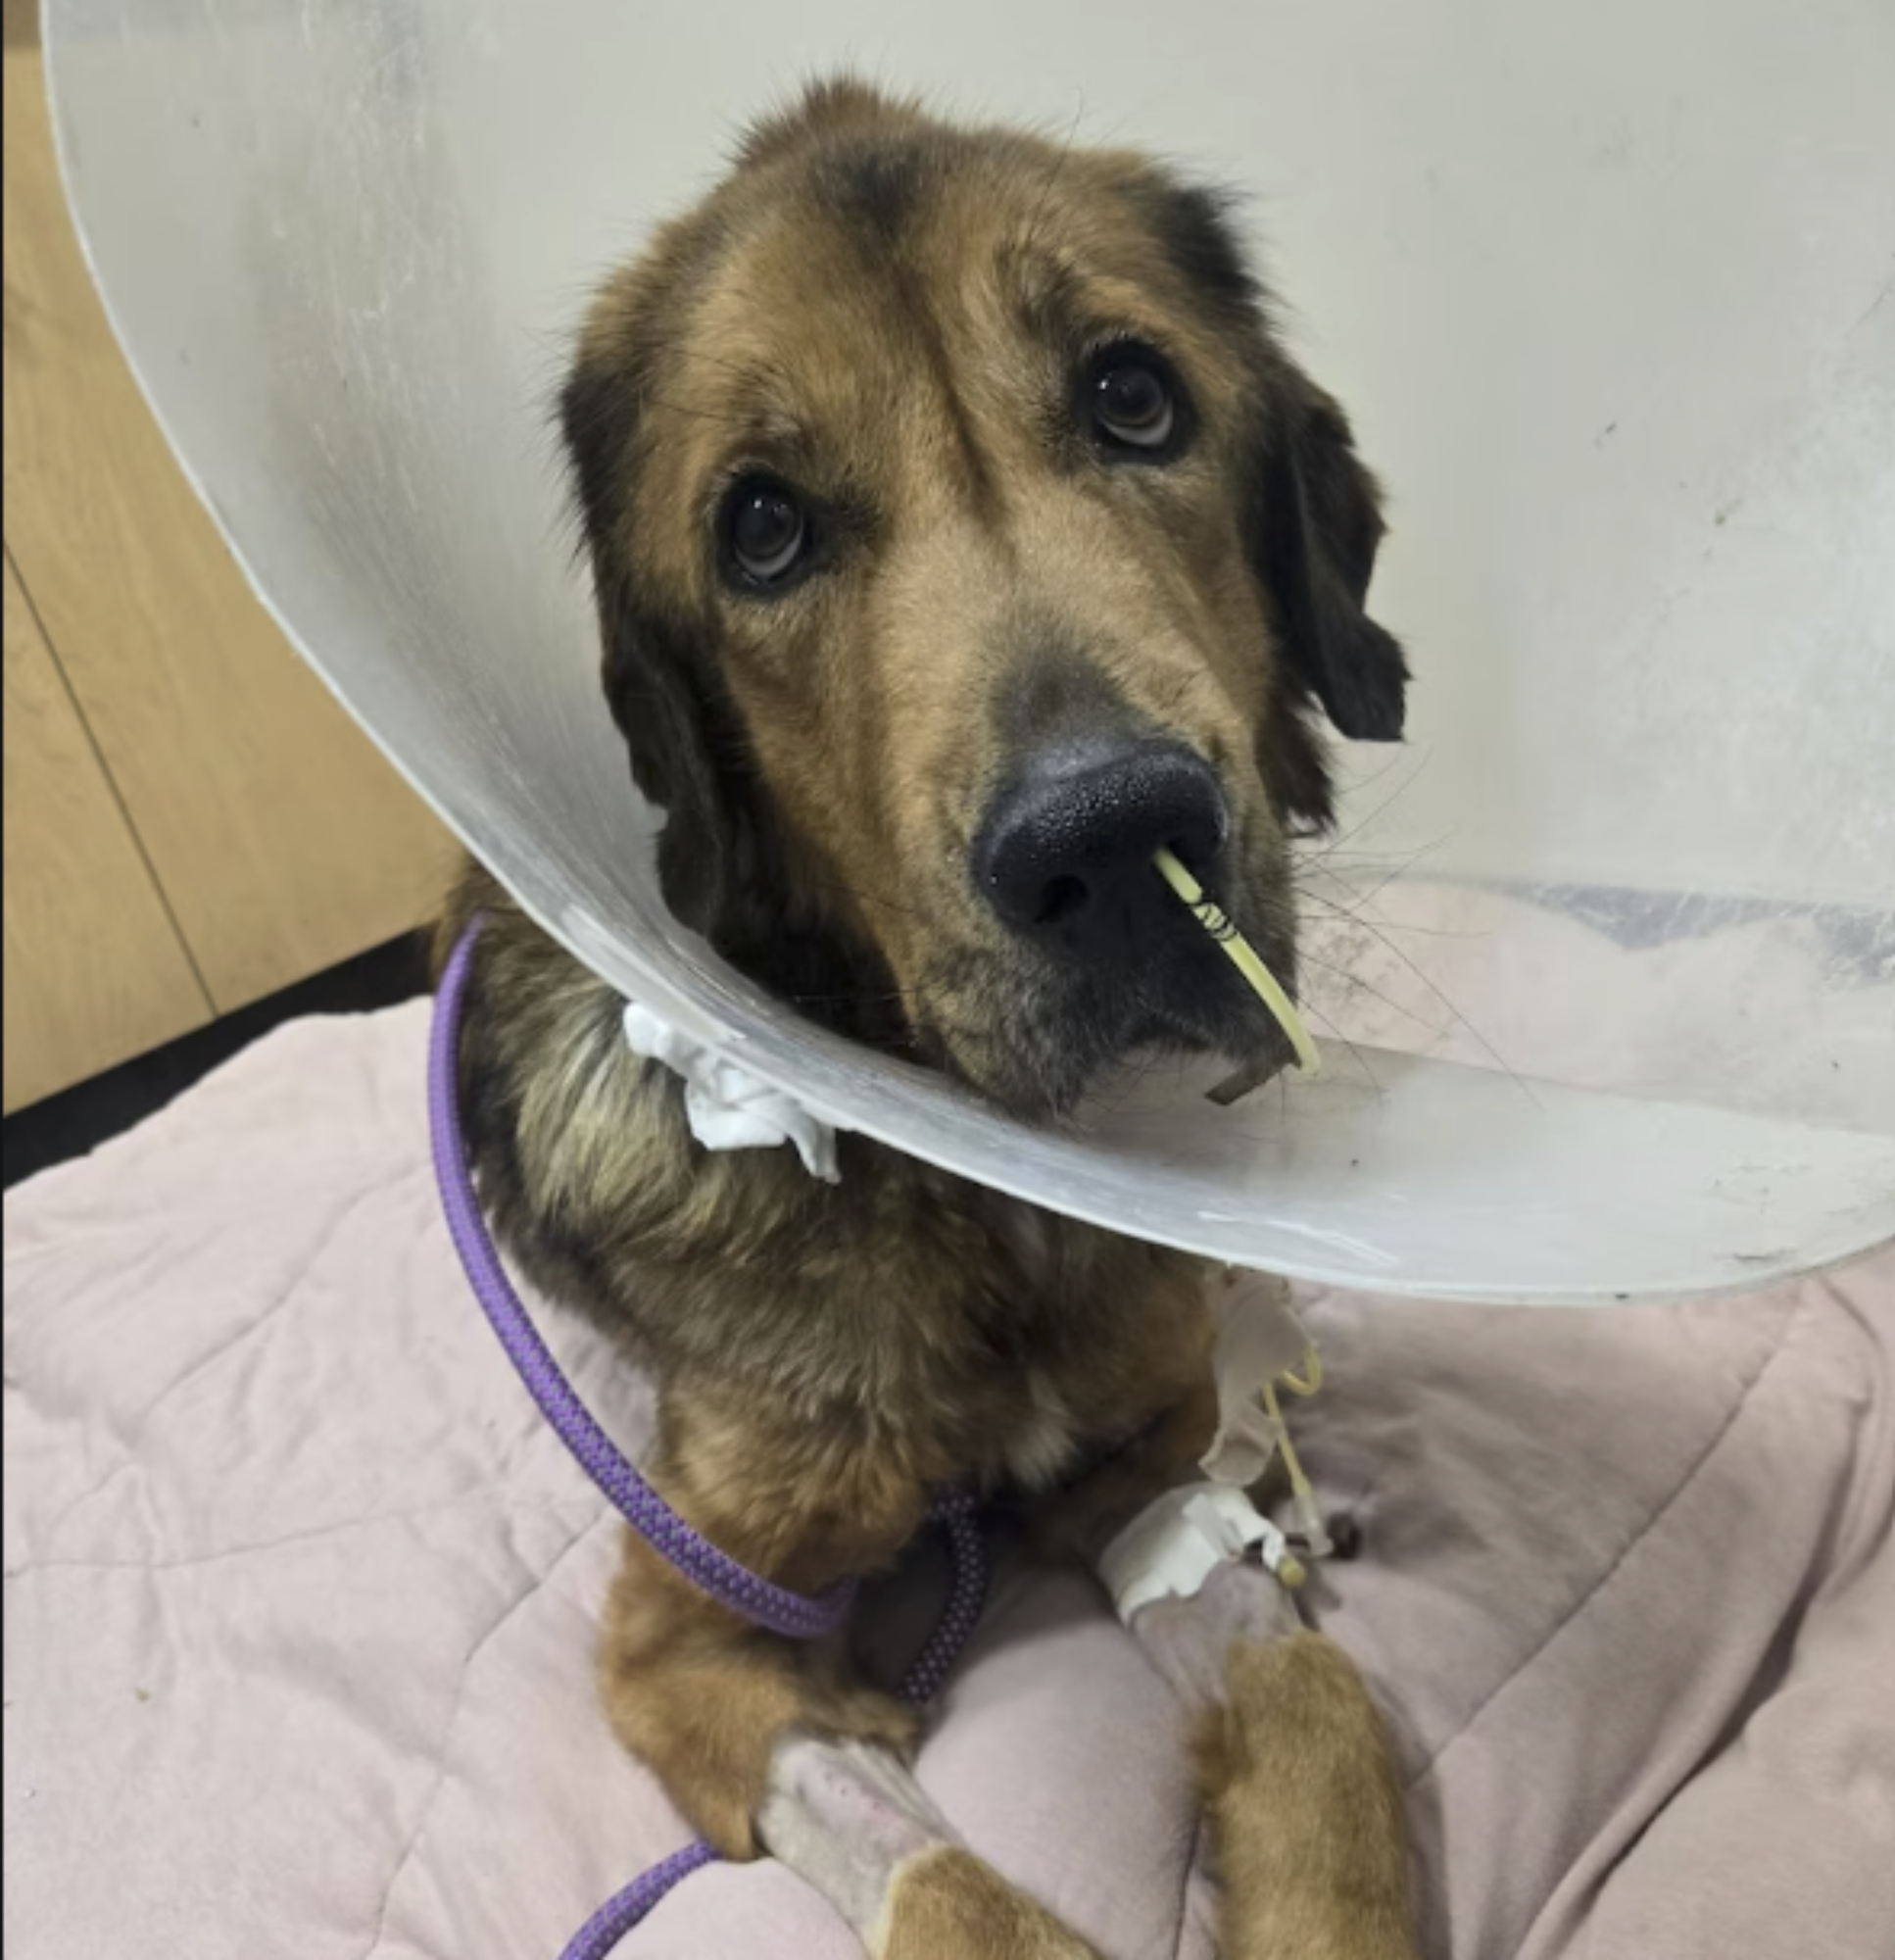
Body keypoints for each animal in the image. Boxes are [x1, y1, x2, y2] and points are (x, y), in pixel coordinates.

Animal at [442, 79, 1416, 1958]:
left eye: (1132, 395)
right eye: (760, 527)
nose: (1107, 841)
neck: (971, 1209)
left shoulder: (1139, 1473)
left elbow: (1322, 1719)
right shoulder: (690, 1650)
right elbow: (948, 1895)